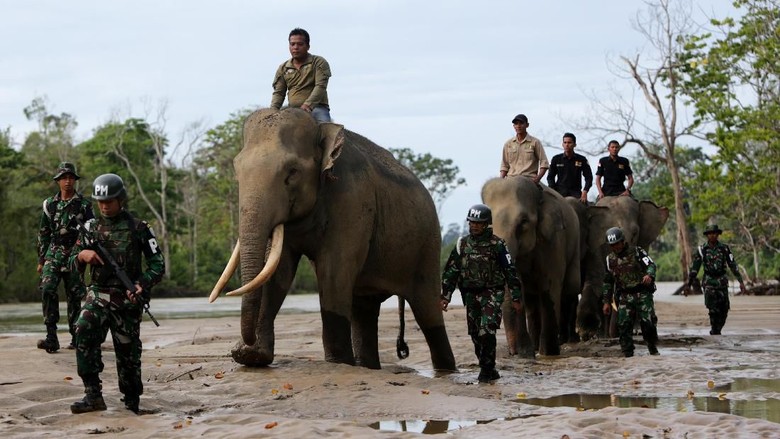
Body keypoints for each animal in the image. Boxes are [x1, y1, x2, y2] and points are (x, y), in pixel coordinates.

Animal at [210, 108, 460, 372]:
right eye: (236, 170)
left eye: (292, 172)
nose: (244, 344)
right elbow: (277, 270)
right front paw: (251, 357)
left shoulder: (352, 198)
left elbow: (334, 270)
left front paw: (338, 363)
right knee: (364, 309)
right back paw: (367, 367)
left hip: (428, 244)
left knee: (428, 312)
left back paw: (445, 369)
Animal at [482, 177, 580, 360]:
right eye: (488, 225)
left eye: (523, 222)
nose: (512, 352)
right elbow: (518, 285)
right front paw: (526, 353)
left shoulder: (553, 241)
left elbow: (550, 287)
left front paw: (548, 353)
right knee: (531, 301)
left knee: (570, 289)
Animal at [572, 196, 672, 340]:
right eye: (607, 237)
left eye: (635, 233)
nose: (614, 334)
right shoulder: (594, 248)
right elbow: (599, 281)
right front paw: (586, 332)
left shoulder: (643, 243)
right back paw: (601, 335)